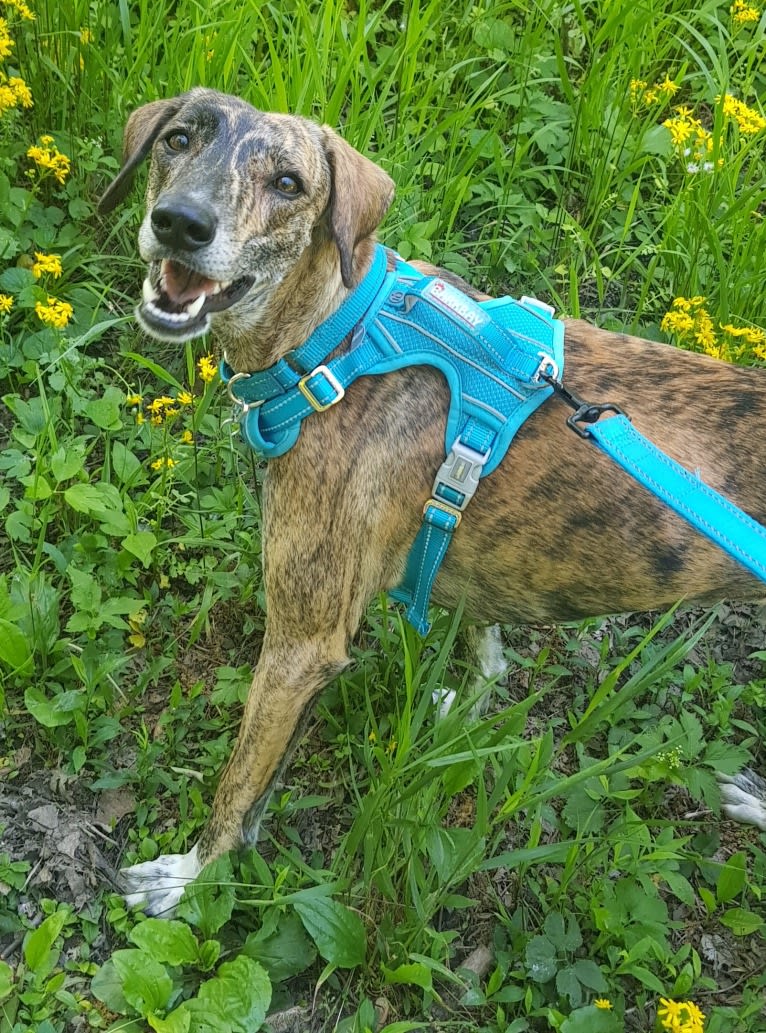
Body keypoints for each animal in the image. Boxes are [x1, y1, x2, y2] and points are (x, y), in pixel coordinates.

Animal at [99, 86, 763, 913]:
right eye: (178, 139)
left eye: (287, 183)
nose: (181, 223)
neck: (339, 337)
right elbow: (484, 651)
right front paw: (466, 710)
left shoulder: (299, 645)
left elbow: (239, 785)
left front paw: (190, 877)